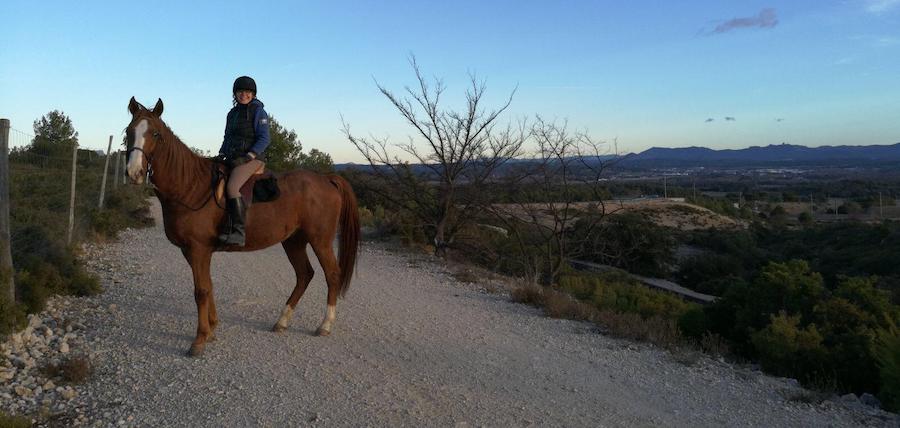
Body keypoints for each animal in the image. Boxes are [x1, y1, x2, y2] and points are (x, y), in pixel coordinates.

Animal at [124, 97, 360, 357]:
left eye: (156, 134)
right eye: (129, 132)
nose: (133, 173)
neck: (191, 187)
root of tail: (326, 179)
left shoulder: (198, 249)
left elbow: (201, 291)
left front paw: (199, 340)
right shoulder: (193, 251)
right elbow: (209, 286)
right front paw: (212, 329)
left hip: (320, 240)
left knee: (332, 274)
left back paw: (325, 325)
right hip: (294, 240)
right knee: (304, 274)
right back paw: (282, 321)